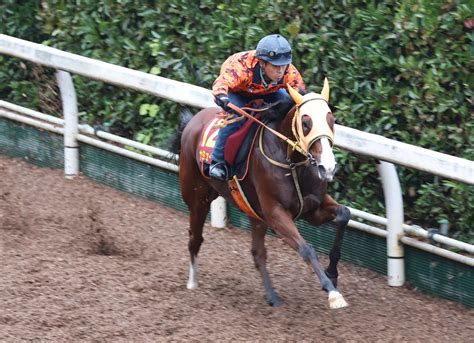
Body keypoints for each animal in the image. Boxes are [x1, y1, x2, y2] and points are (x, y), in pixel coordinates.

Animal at [171, 79, 352, 310]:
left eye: (332, 120)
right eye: (306, 123)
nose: (327, 167)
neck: (291, 161)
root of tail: (191, 123)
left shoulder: (313, 209)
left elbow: (344, 214)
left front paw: (332, 273)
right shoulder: (275, 213)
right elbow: (307, 249)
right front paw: (332, 292)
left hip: (255, 214)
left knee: (258, 253)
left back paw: (273, 296)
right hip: (197, 198)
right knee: (195, 237)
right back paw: (192, 282)